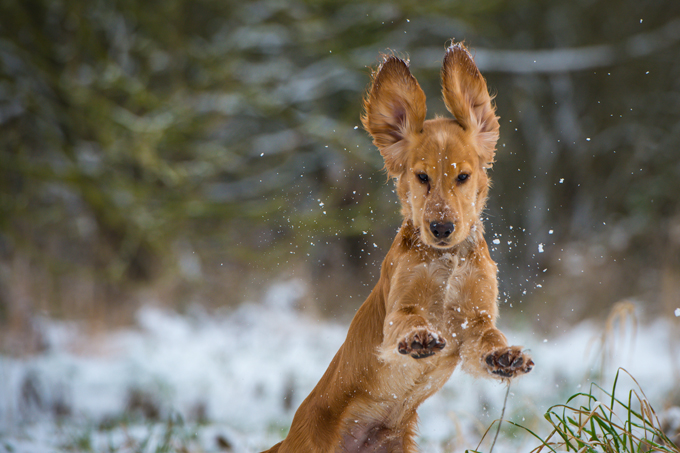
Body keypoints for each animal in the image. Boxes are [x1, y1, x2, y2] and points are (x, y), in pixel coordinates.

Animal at [262, 41, 532, 452]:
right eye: (422, 177)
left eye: (463, 176)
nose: (441, 228)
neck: (446, 261)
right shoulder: (398, 310)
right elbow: (407, 320)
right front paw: (420, 337)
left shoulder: (475, 323)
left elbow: (487, 339)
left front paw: (505, 357)